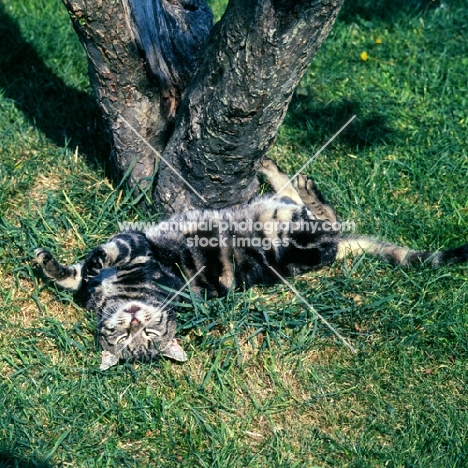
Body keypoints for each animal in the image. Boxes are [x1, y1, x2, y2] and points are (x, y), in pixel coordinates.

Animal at [35, 159, 468, 372]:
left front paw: (81, 264)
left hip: (298, 236)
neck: (123, 295)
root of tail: (337, 249)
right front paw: (57, 267)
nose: (136, 321)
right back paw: (280, 175)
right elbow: (73, 277)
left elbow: (103, 255)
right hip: (293, 226)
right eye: (128, 340)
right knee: (310, 207)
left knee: (325, 213)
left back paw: (290, 179)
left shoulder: (140, 246)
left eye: (151, 334)